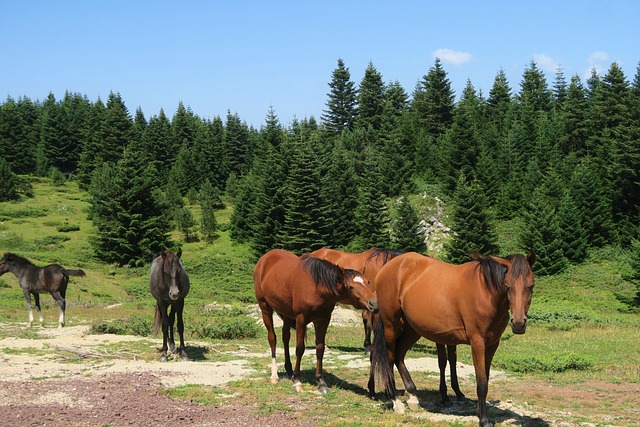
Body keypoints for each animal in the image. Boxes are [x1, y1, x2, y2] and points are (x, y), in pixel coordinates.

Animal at [251, 251, 378, 394]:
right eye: (351, 287)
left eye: (367, 282)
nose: (373, 303)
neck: (316, 286)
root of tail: (264, 259)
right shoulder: (301, 320)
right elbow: (300, 349)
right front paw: (297, 381)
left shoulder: (323, 320)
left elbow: (320, 348)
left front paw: (321, 382)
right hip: (265, 308)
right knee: (272, 338)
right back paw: (274, 375)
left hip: (286, 313)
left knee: (285, 338)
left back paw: (289, 370)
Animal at [370, 251, 536, 427]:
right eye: (507, 286)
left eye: (531, 286)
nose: (518, 323)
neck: (486, 293)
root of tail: (388, 267)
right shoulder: (477, 343)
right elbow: (481, 383)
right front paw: (484, 419)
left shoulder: (492, 344)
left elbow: (485, 377)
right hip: (391, 326)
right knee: (390, 357)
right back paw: (395, 400)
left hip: (412, 329)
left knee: (399, 355)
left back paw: (413, 396)